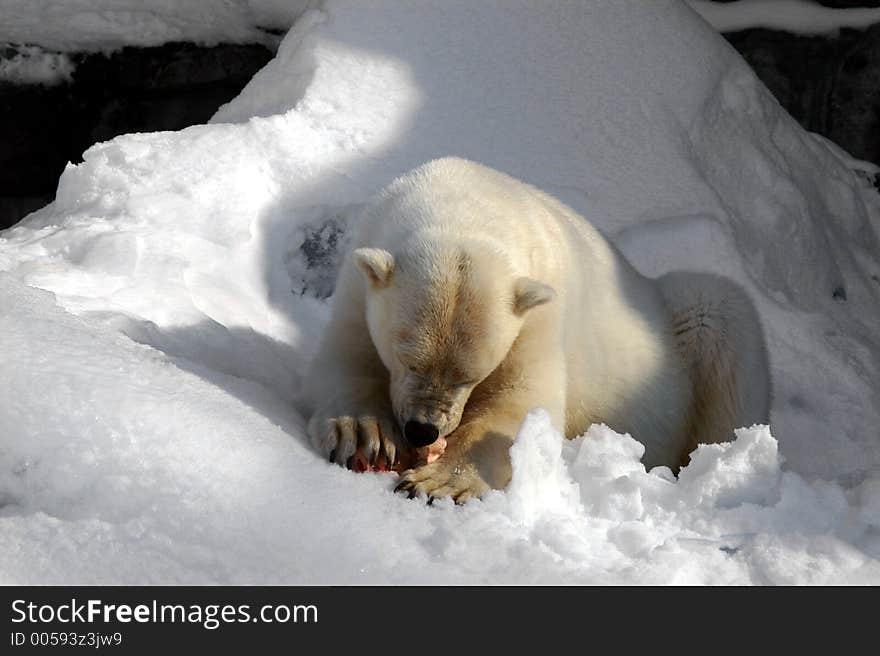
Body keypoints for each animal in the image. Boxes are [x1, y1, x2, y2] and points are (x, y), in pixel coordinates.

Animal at [302, 158, 768, 502]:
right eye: (408, 359)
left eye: (471, 375)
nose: (423, 429)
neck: (469, 202)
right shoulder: (360, 276)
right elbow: (346, 354)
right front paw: (363, 435)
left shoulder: (540, 315)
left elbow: (522, 404)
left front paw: (437, 482)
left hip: (689, 327)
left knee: (722, 319)